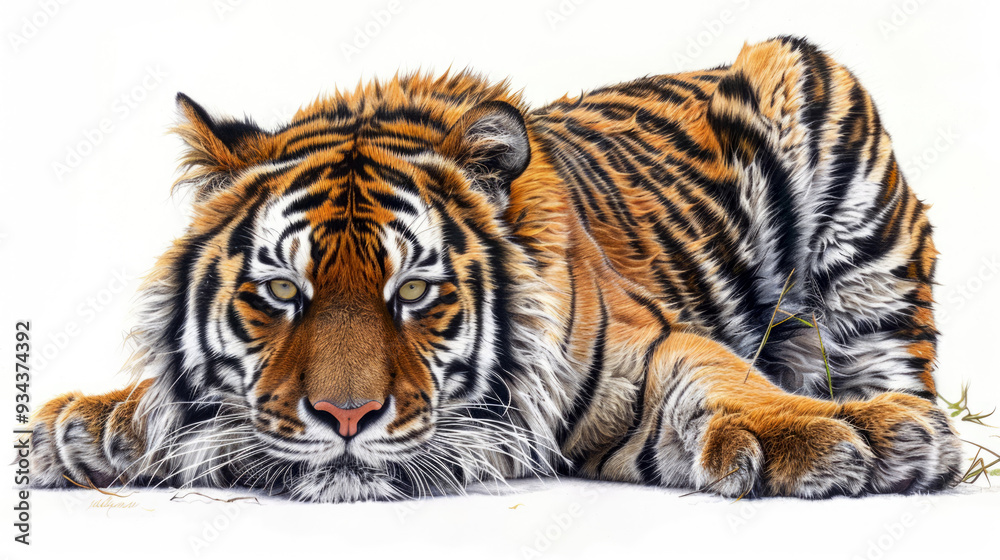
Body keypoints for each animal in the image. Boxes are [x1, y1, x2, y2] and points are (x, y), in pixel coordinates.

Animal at [29, 36, 963, 502]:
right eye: (282, 292)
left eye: (414, 291)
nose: (344, 418)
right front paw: (87, 422)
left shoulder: (648, 348)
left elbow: (723, 378)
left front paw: (848, 436)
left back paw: (899, 417)